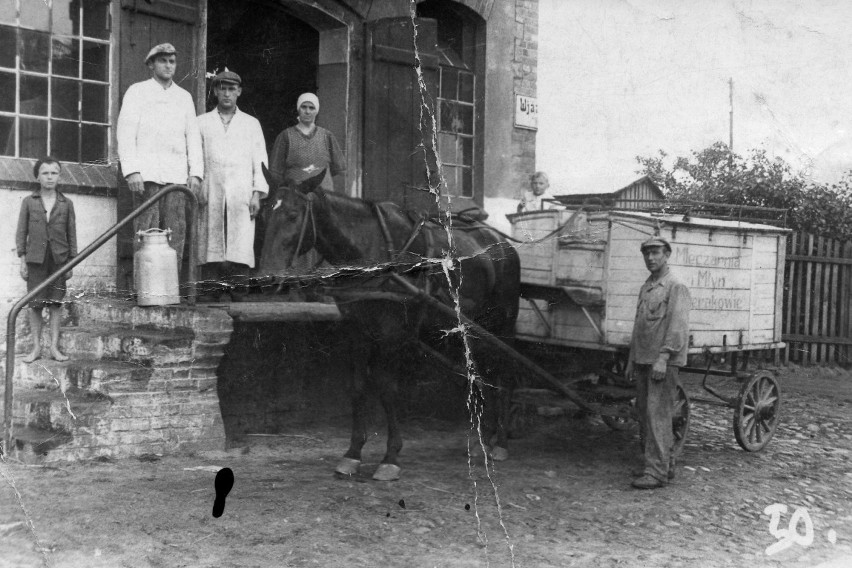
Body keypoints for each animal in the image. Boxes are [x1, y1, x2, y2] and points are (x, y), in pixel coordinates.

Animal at [260, 168, 520, 480]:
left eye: (293, 214)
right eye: (264, 212)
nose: (267, 278)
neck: (371, 249)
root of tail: (501, 242)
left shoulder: (393, 333)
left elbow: (388, 389)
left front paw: (390, 457)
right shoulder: (355, 330)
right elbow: (357, 386)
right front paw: (352, 453)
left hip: (503, 321)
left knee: (506, 370)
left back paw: (501, 441)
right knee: (483, 371)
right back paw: (486, 437)